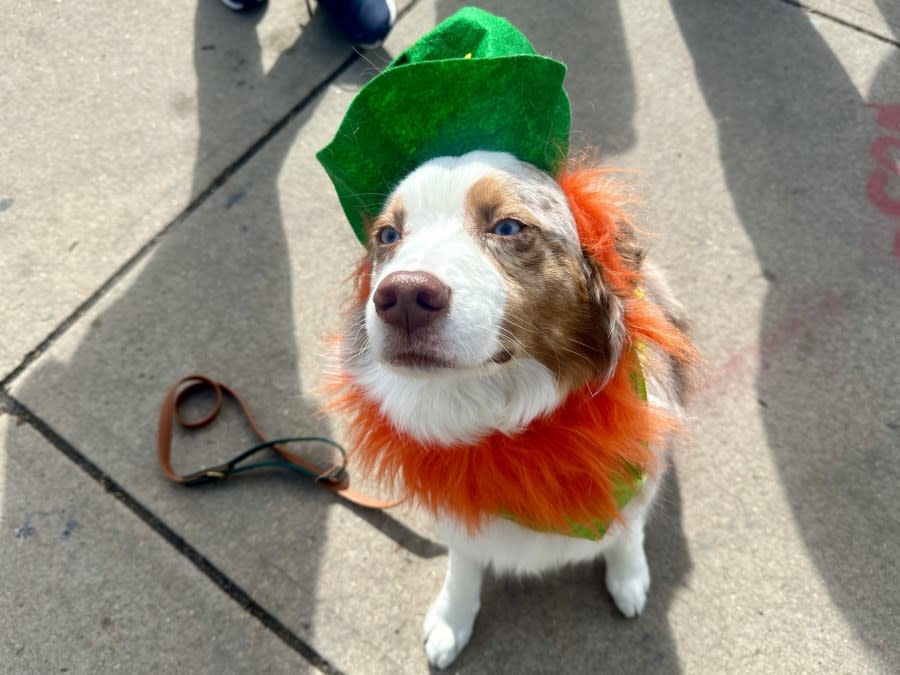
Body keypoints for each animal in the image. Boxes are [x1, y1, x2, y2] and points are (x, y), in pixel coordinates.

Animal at [326, 151, 700, 668]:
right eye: (388, 236)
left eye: (506, 227)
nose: (402, 298)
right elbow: (464, 562)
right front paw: (451, 620)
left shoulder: (638, 474)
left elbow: (627, 531)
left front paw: (628, 578)